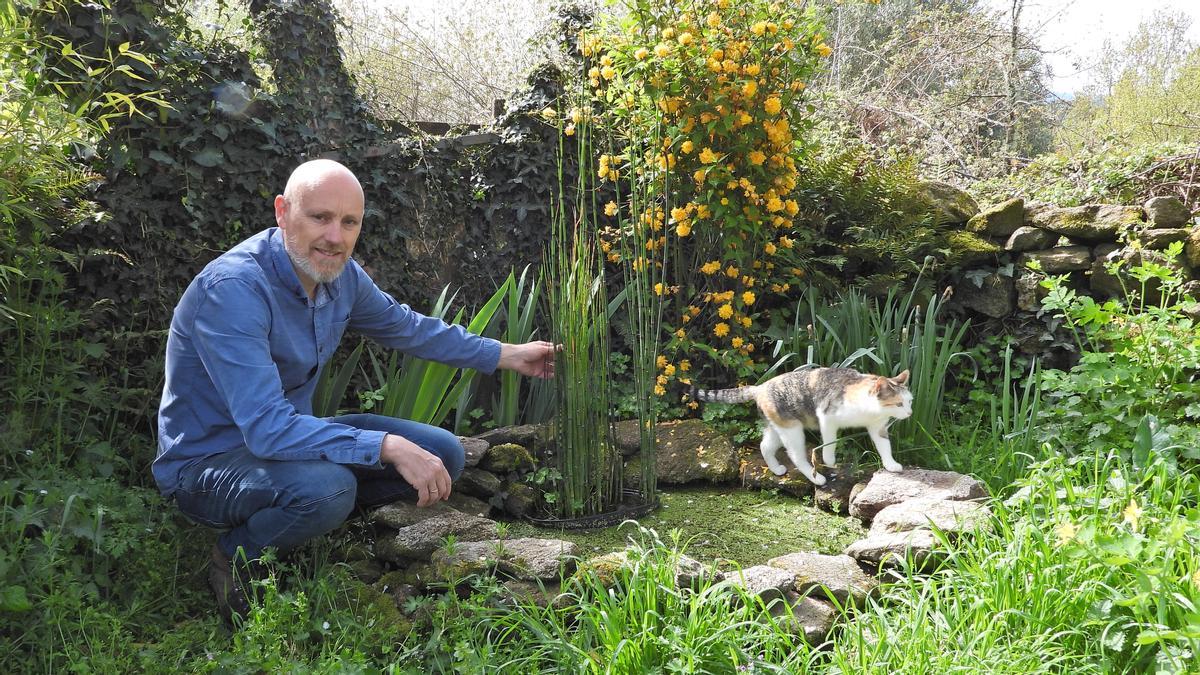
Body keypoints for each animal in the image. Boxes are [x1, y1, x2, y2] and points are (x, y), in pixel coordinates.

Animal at [696, 362, 907, 482]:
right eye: (899, 403)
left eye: (910, 402)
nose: (910, 412)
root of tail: (759, 387)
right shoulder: (827, 418)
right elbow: (830, 443)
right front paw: (830, 461)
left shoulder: (878, 427)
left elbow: (884, 447)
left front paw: (891, 465)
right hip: (793, 430)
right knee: (796, 456)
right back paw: (817, 479)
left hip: (777, 427)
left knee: (765, 446)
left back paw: (777, 469)